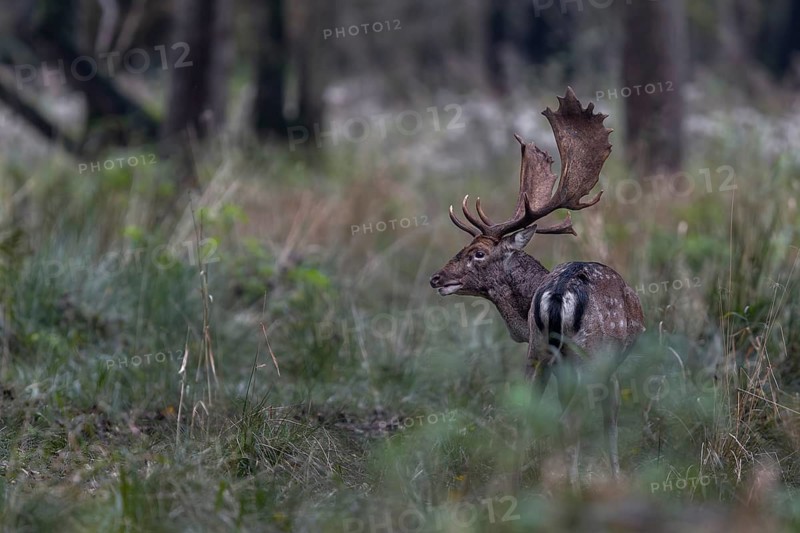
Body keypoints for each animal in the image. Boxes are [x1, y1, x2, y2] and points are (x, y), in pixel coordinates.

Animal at [429, 87, 645, 486]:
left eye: (477, 252)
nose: (436, 278)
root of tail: (557, 294)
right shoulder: (609, 364)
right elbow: (611, 415)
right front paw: (615, 474)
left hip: (539, 351)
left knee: (530, 411)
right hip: (587, 353)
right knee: (574, 416)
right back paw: (571, 483)